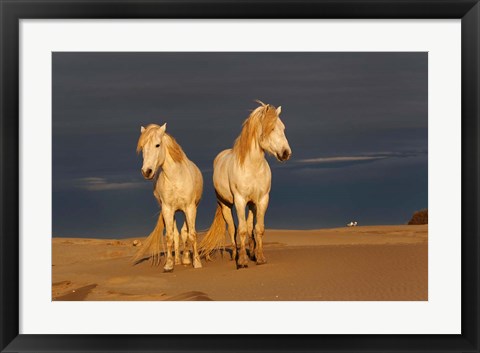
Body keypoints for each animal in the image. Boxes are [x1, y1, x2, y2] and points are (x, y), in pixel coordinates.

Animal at [134, 122, 203, 270]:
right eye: (142, 147)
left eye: (157, 145)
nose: (146, 171)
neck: (176, 178)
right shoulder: (167, 209)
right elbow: (170, 236)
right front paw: (169, 264)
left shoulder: (190, 208)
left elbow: (191, 234)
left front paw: (196, 262)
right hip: (174, 212)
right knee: (177, 234)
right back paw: (178, 260)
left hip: (187, 210)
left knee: (185, 232)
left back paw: (186, 259)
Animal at [198, 100, 290, 268]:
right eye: (271, 128)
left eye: (283, 128)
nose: (286, 153)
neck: (252, 167)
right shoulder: (240, 201)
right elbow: (240, 230)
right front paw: (241, 261)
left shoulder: (262, 200)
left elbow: (258, 229)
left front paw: (260, 257)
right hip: (226, 205)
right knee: (232, 229)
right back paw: (235, 255)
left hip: (252, 204)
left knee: (249, 227)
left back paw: (252, 252)